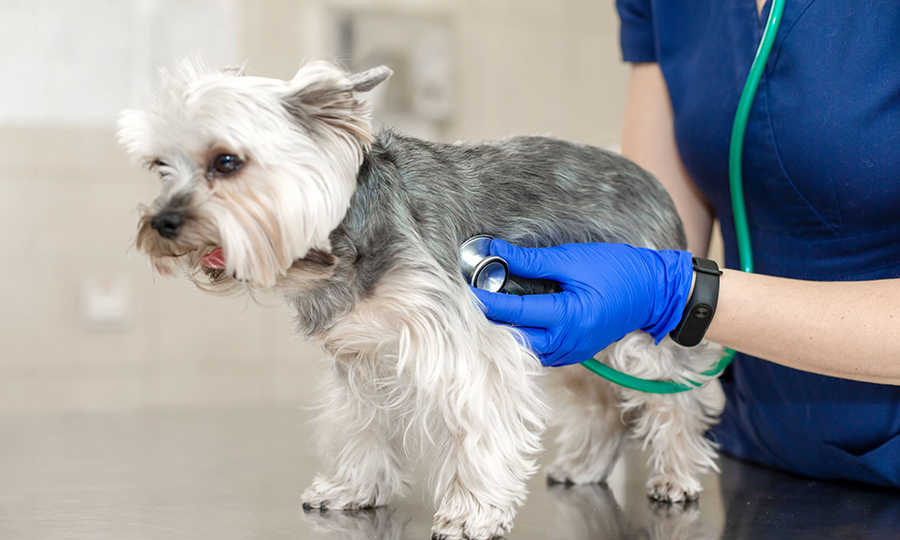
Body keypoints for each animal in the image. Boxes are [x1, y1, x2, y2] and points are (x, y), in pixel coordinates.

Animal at [118, 60, 724, 540]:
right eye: (160, 167)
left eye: (226, 161)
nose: (162, 223)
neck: (339, 239)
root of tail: (648, 177)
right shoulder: (360, 354)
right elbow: (358, 423)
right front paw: (353, 487)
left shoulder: (469, 348)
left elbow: (480, 426)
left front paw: (473, 512)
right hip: (582, 328)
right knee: (601, 401)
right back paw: (584, 464)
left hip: (635, 330)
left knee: (674, 397)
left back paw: (676, 474)